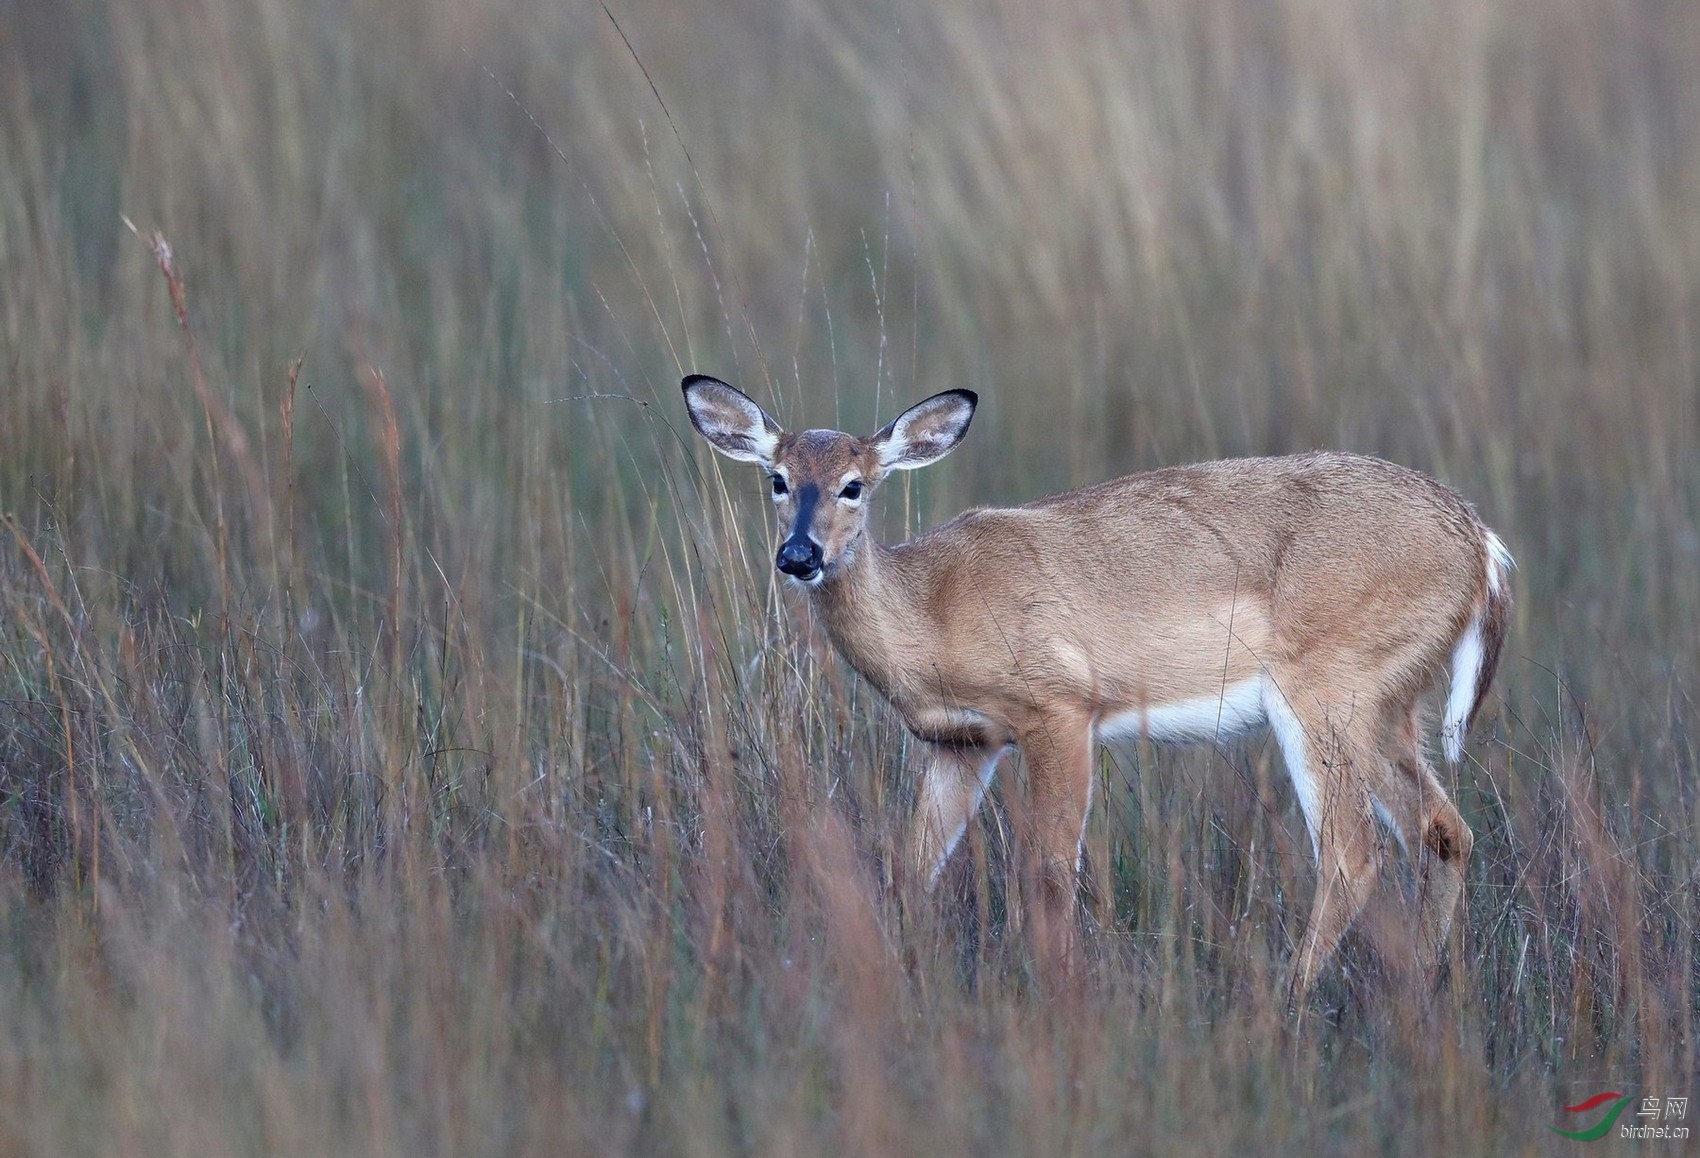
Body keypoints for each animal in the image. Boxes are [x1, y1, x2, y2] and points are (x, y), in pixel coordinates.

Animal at [683, 370, 1509, 993]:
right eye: (777, 479)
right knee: (1444, 831)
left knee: (1352, 853)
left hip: (1327, 687)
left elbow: (1048, 874)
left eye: (854, 485)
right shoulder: (961, 743)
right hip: (1388, 704)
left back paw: (1287, 1000)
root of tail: (1482, 544)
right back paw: (1417, 988)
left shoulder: (1058, 707)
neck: (931, 609)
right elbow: (910, 868)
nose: (799, 556)